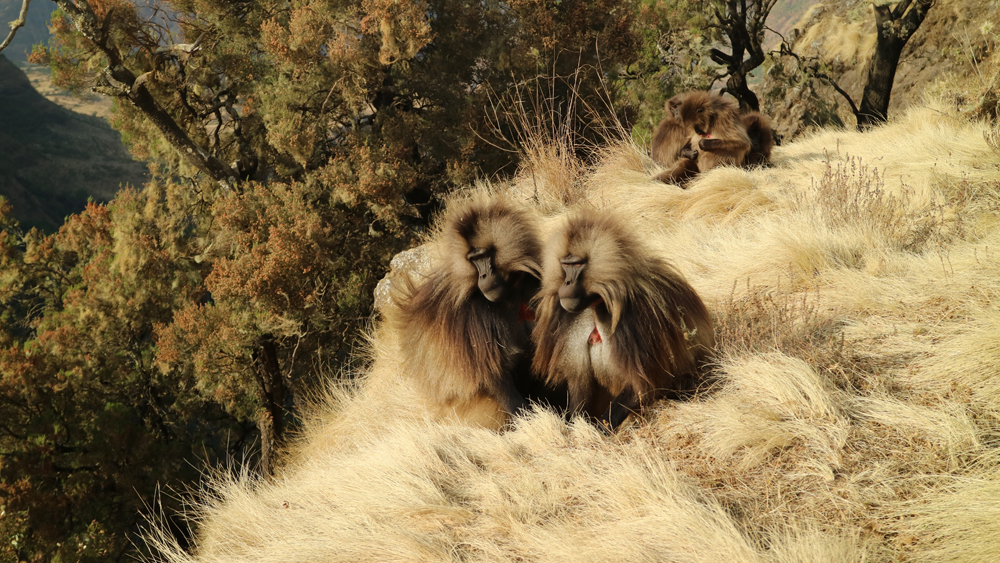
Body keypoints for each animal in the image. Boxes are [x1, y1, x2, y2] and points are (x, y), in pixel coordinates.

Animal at [388, 193, 560, 429]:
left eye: (484, 255)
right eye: (473, 260)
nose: (484, 276)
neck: (508, 293)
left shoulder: (532, 283)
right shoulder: (474, 316)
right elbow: (492, 375)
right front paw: (530, 420)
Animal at [531, 208, 715, 430]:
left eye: (577, 264)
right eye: (565, 264)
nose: (566, 283)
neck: (598, 303)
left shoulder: (634, 319)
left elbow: (643, 383)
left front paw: (597, 431)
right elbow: (579, 383)